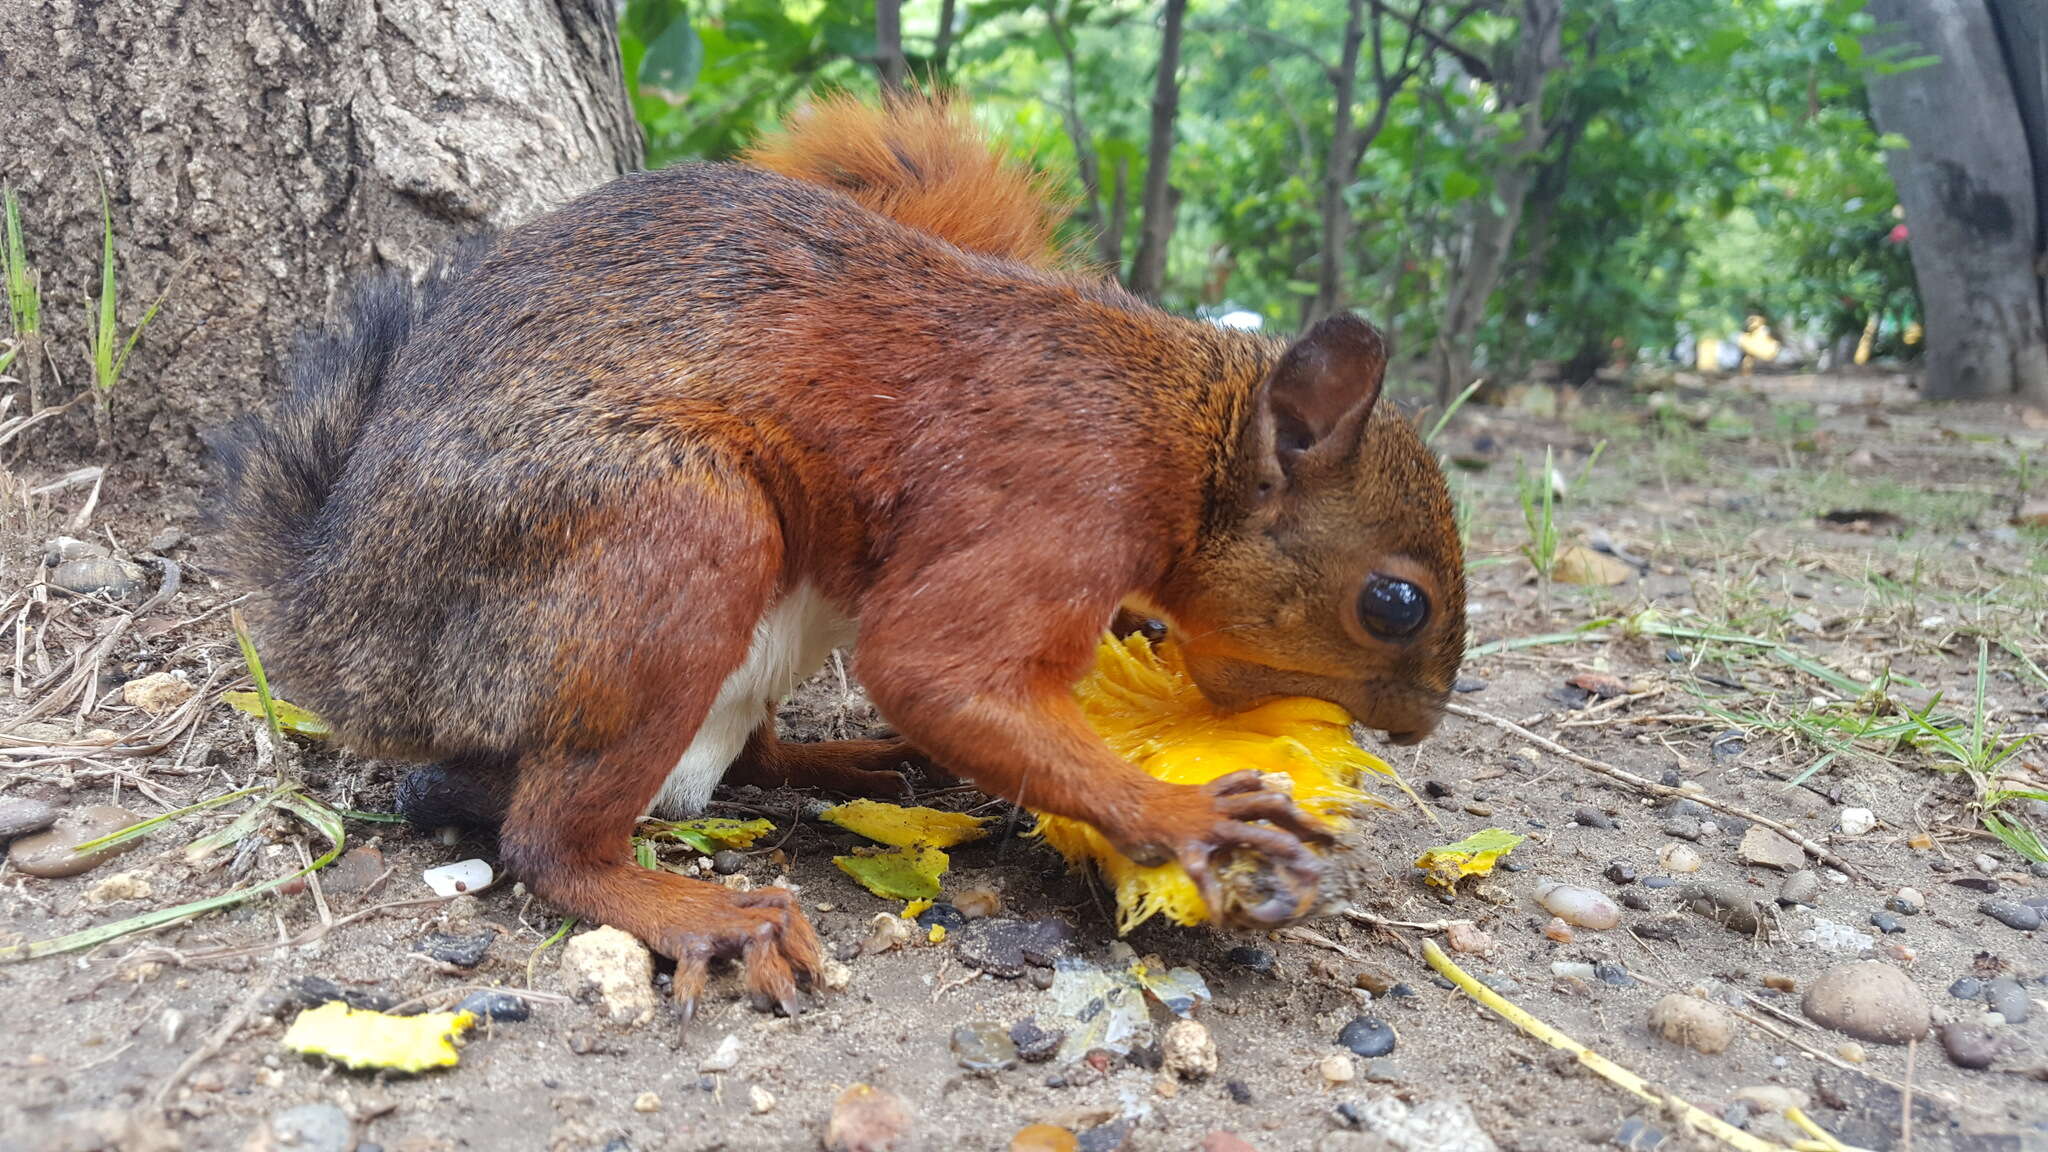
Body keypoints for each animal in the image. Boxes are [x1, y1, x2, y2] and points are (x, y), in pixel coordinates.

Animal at [211, 96, 1474, 1012]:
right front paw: (1186, 816)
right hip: (672, 532)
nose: (1415, 728)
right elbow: (932, 669)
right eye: (1394, 603)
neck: (1172, 432)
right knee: (541, 836)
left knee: (739, 756)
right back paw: (697, 912)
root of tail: (341, 623)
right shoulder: (1057, 500)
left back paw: (849, 763)